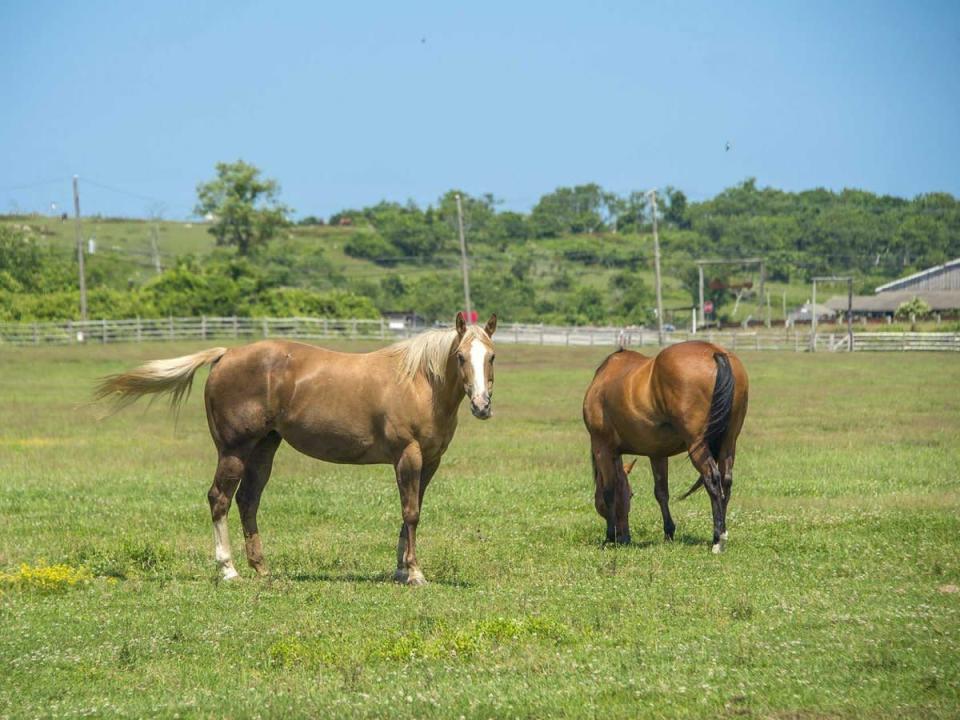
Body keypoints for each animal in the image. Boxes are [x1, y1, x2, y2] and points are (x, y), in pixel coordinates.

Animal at [95, 314, 502, 584]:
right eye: (461, 357)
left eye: (492, 356)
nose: (482, 406)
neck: (418, 382)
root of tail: (226, 354)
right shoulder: (408, 456)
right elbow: (412, 512)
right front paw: (414, 573)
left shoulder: (429, 462)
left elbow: (410, 513)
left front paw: (402, 568)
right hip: (234, 450)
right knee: (219, 499)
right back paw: (228, 569)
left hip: (263, 449)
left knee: (247, 501)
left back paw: (261, 567)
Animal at [580, 340, 748, 556]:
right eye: (631, 494)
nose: (624, 537)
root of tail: (715, 352)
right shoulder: (657, 454)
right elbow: (661, 492)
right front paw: (668, 533)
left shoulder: (603, 448)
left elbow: (609, 491)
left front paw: (609, 537)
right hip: (729, 443)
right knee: (726, 481)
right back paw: (721, 533)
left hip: (697, 444)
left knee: (712, 480)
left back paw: (718, 539)